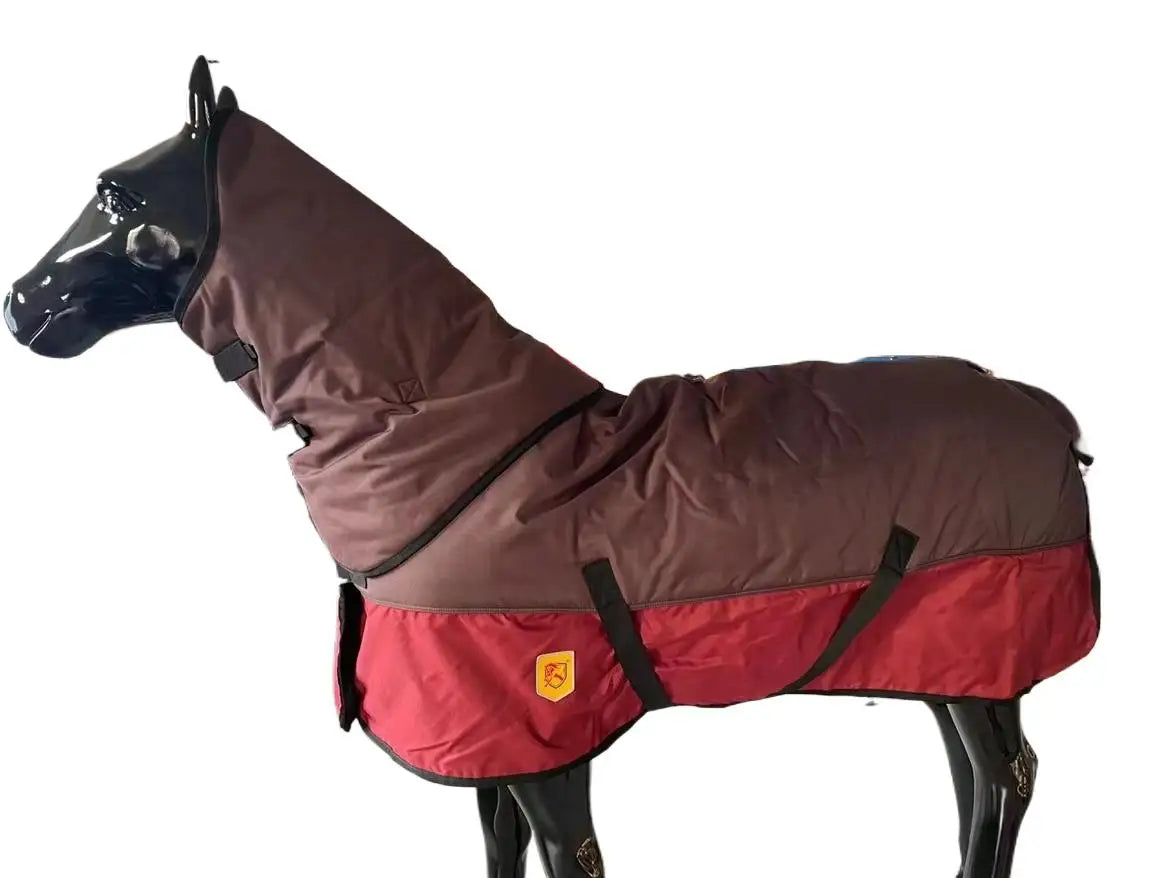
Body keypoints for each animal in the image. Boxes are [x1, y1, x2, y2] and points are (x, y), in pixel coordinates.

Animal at [5, 58, 1098, 878]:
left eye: (113, 191)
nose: (21, 304)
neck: (452, 437)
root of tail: (1048, 412)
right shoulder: (487, 737)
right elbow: (497, 851)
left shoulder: (552, 739)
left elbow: (568, 855)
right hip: (944, 659)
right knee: (973, 778)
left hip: (986, 650)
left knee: (1008, 778)